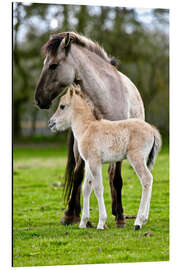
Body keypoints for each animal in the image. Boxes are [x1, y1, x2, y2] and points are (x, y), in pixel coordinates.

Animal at [34, 32, 145, 229]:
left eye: (53, 65)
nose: (38, 99)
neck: (106, 97)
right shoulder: (83, 146)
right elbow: (78, 176)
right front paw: (70, 215)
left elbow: (116, 179)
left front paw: (120, 218)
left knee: (111, 176)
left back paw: (117, 211)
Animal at [48, 85, 162, 230]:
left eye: (62, 106)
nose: (51, 122)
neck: (87, 128)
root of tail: (152, 130)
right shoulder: (88, 163)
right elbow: (86, 188)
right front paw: (83, 223)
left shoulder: (95, 162)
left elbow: (98, 188)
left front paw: (101, 222)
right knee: (150, 180)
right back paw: (144, 219)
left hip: (136, 159)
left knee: (146, 180)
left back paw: (138, 222)